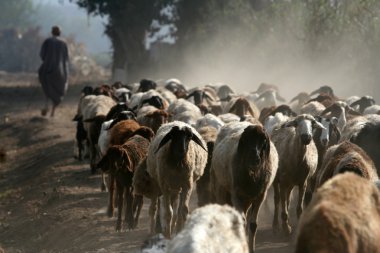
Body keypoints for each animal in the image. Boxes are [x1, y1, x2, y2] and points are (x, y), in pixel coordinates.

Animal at [211, 121, 280, 252]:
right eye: (246, 139)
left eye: (263, 139)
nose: (255, 158)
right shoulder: (235, 195)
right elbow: (241, 222)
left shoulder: (260, 196)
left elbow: (252, 225)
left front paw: (250, 248)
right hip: (221, 189)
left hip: (247, 199)